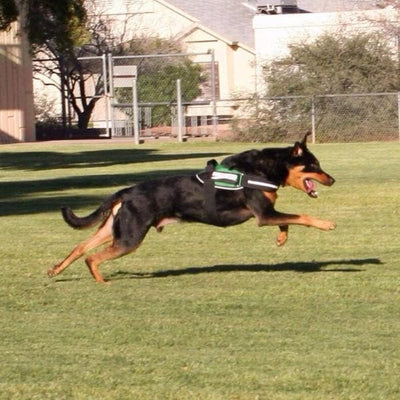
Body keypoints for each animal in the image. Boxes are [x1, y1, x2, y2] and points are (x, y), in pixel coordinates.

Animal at [47, 133, 334, 282]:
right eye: (314, 165)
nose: (332, 179)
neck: (264, 169)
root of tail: (126, 192)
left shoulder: (267, 213)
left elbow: (288, 221)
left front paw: (281, 239)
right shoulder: (263, 214)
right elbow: (301, 216)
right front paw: (326, 223)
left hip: (115, 229)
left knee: (80, 247)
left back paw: (55, 270)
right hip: (129, 238)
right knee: (91, 257)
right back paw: (100, 280)